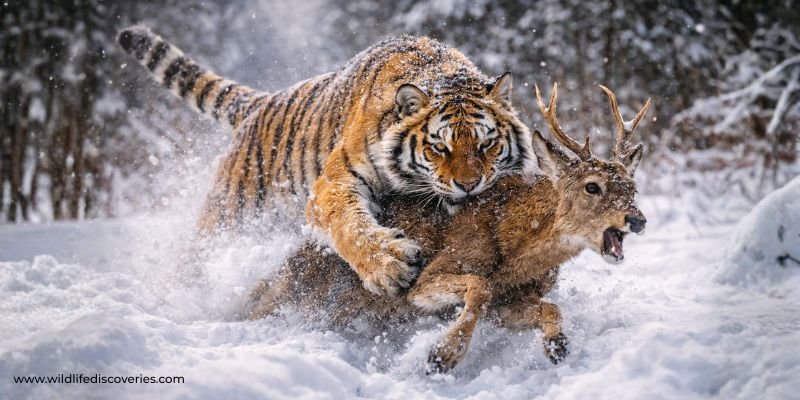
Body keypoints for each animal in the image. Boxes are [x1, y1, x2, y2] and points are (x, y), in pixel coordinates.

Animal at [117, 26, 540, 296]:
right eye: (440, 148)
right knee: (196, 256)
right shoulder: (333, 182)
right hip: (228, 217)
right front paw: (389, 266)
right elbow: (349, 224)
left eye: (486, 145)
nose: (469, 185)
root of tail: (260, 104)